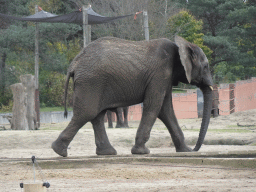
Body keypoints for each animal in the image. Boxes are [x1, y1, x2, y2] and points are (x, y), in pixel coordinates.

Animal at [51, 36, 213, 158]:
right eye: (206, 67)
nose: (196, 149)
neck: (181, 46)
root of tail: (74, 64)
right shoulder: (160, 74)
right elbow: (154, 106)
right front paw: (142, 152)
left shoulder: (165, 78)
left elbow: (165, 110)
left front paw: (185, 151)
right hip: (91, 82)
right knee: (87, 113)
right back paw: (59, 151)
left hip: (95, 83)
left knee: (96, 115)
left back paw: (107, 153)